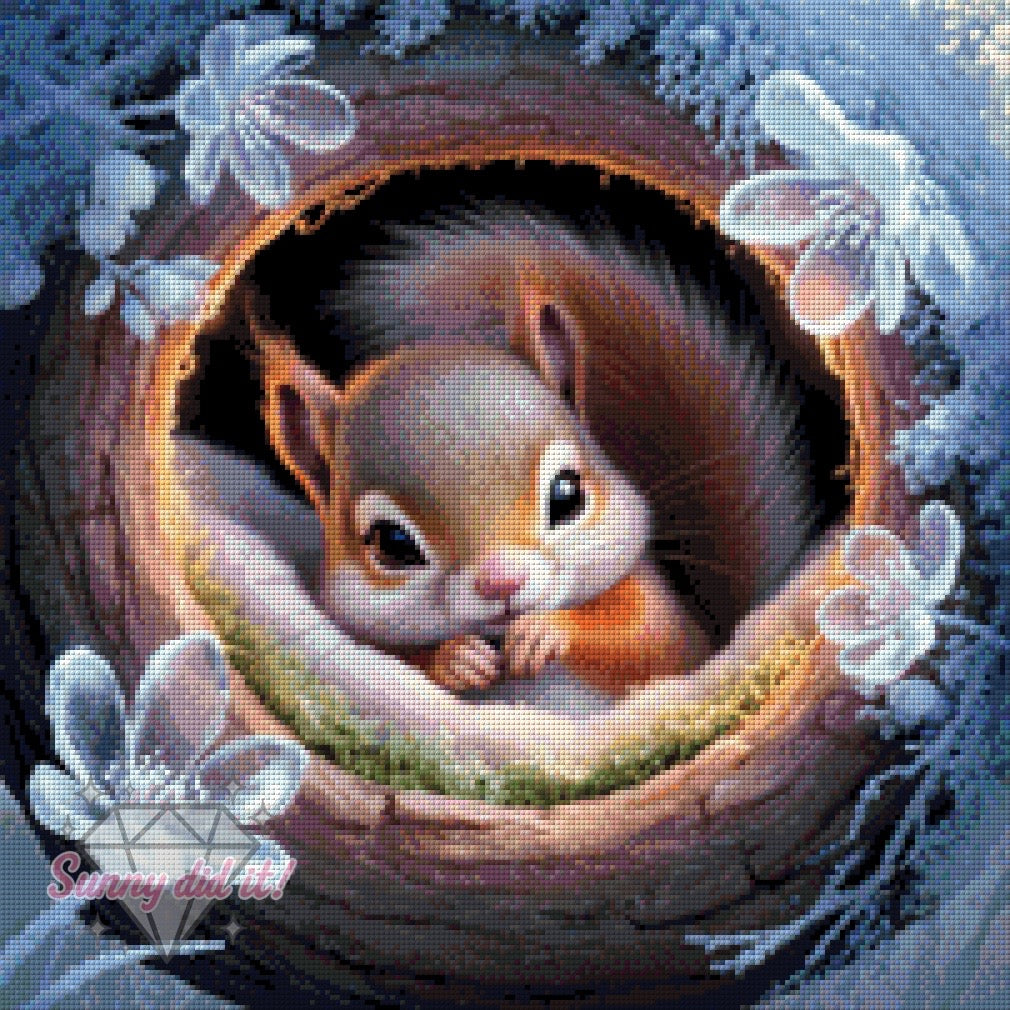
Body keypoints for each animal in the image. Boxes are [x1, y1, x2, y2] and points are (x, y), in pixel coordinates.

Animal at [250, 204, 813, 697]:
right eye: (391, 544)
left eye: (569, 494)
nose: (502, 582)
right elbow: (386, 652)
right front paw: (455, 657)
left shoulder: (660, 617)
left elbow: (652, 641)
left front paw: (548, 631)